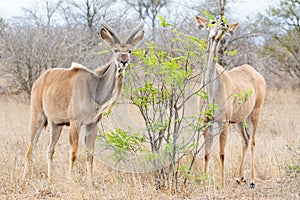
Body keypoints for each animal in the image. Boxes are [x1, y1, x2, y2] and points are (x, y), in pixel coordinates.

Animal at [22, 19, 145, 182]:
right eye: (115, 50)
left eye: (130, 51)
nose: (123, 62)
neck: (95, 89)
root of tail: (39, 80)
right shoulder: (75, 123)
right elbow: (73, 153)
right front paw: (70, 180)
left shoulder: (92, 124)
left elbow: (90, 155)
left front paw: (90, 182)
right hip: (38, 118)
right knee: (30, 150)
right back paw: (24, 180)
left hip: (56, 125)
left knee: (49, 149)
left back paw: (50, 179)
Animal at [196, 16, 266, 189]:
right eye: (212, 22)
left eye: (226, 24)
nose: (224, 25)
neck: (211, 89)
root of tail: (258, 75)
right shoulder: (206, 122)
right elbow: (207, 153)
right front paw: (203, 181)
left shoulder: (223, 122)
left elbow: (221, 153)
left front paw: (221, 183)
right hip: (240, 120)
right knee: (245, 140)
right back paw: (239, 178)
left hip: (255, 113)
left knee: (253, 141)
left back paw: (252, 181)